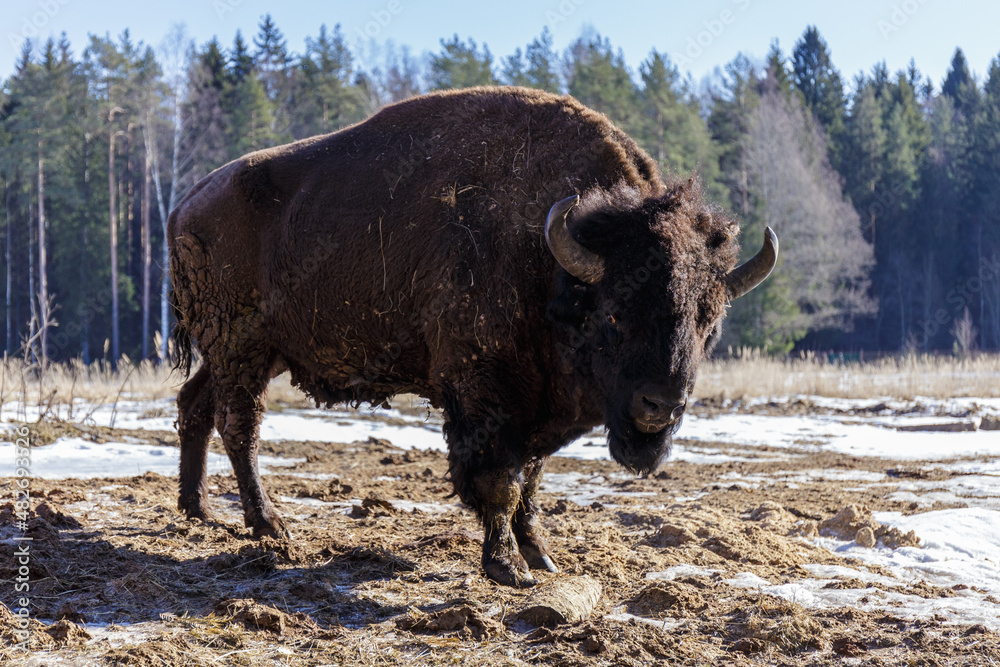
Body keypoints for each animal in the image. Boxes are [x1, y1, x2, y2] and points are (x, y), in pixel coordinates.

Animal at [168, 86, 776, 588]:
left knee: (195, 406)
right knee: (238, 426)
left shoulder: (536, 408)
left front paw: (540, 554)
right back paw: (269, 526)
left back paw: (199, 511)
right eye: (614, 314)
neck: (548, 257)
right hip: (241, 348)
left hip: (249, 352)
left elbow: (532, 480)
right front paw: (507, 567)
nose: (660, 406)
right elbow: (500, 480)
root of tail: (186, 202)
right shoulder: (486, 394)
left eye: (708, 321)